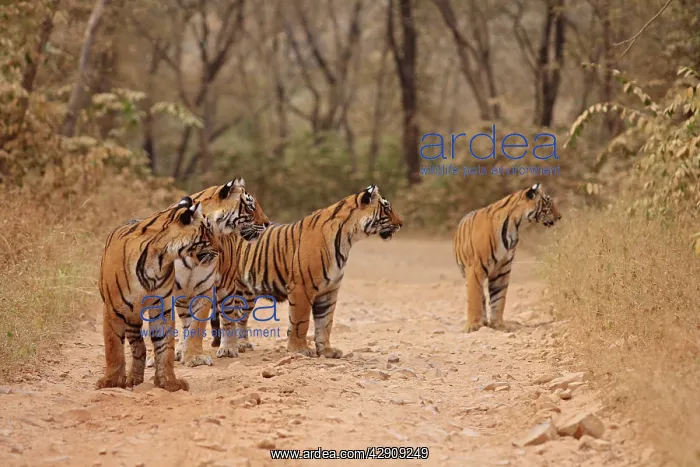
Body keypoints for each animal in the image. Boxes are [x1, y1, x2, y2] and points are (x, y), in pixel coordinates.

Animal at [96, 198, 219, 392]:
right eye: (208, 231)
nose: (221, 249)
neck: (159, 257)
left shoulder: (162, 307)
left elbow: (165, 346)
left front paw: (168, 382)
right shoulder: (113, 309)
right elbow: (113, 346)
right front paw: (111, 382)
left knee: (139, 344)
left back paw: (135, 378)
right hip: (129, 313)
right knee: (136, 344)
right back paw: (132, 378)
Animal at [144, 178, 270, 368]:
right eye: (250, 207)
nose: (267, 223)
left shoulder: (203, 288)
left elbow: (197, 326)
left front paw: (195, 358)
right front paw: (157, 357)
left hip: (226, 286)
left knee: (228, 318)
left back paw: (228, 348)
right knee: (185, 322)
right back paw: (180, 350)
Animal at [187, 184, 404, 361]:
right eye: (387, 208)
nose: (401, 223)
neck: (348, 238)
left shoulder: (329, 291)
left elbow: (325, 323)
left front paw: (327, 351)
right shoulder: (302, 287)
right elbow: (301, 321)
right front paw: (300, 349)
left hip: (247, 293)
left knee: (241, 317)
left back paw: (243, 344)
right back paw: (234, 346)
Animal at [453, 183, 561, 333]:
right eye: (548, 203)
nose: (560, 217)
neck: (515, 225)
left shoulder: (502, 269)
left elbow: (499, 299)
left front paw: (498, 325)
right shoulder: (475, 268)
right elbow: (474, 297)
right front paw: (473, 325)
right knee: (479, 295)